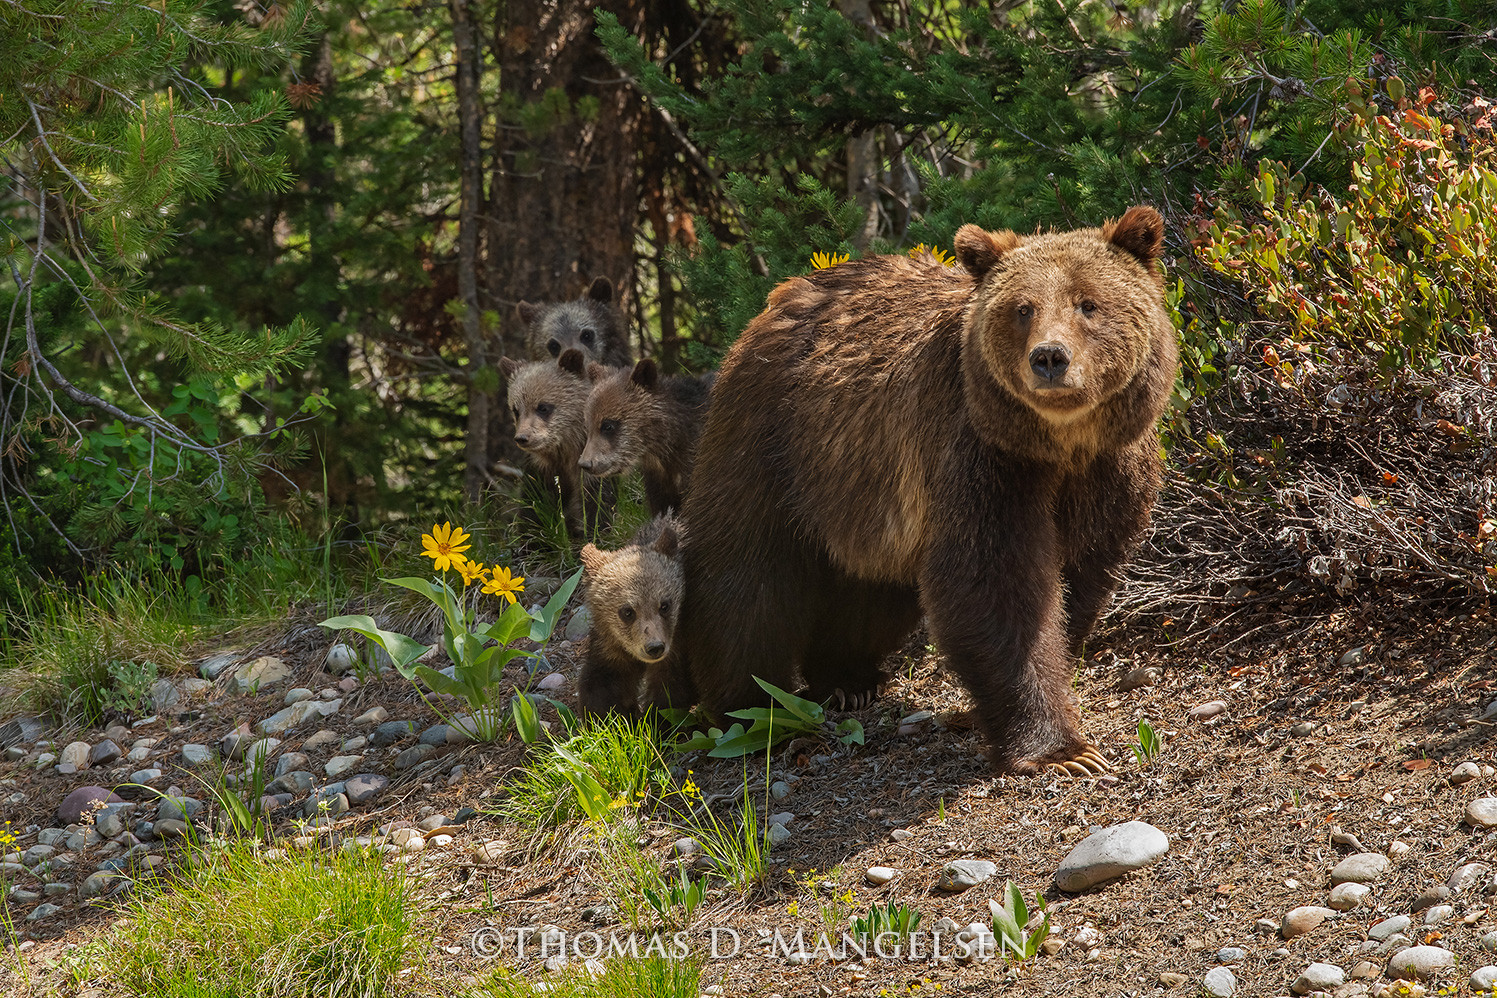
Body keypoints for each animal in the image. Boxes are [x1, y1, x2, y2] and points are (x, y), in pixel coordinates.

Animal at [576, 514, 688, 717]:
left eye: (665, 605)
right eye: (627, 611)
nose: (654, 647)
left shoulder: (679, 642)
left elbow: (671, 690)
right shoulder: (610, 647)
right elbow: (601, 685)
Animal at [671, 206, 1177, 775]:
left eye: (1088, 303)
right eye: (1022, 309)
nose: (1050, 358)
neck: (1059, 444)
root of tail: (780, 297)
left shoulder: (1108, 471)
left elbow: (1079, 573)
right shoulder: (980, 458)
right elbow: (995, 583)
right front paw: (1062, 750)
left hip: (863, 493)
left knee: (871, 592)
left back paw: (846, 679)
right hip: (773, 442)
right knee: (746, 578)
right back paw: (749, 709)